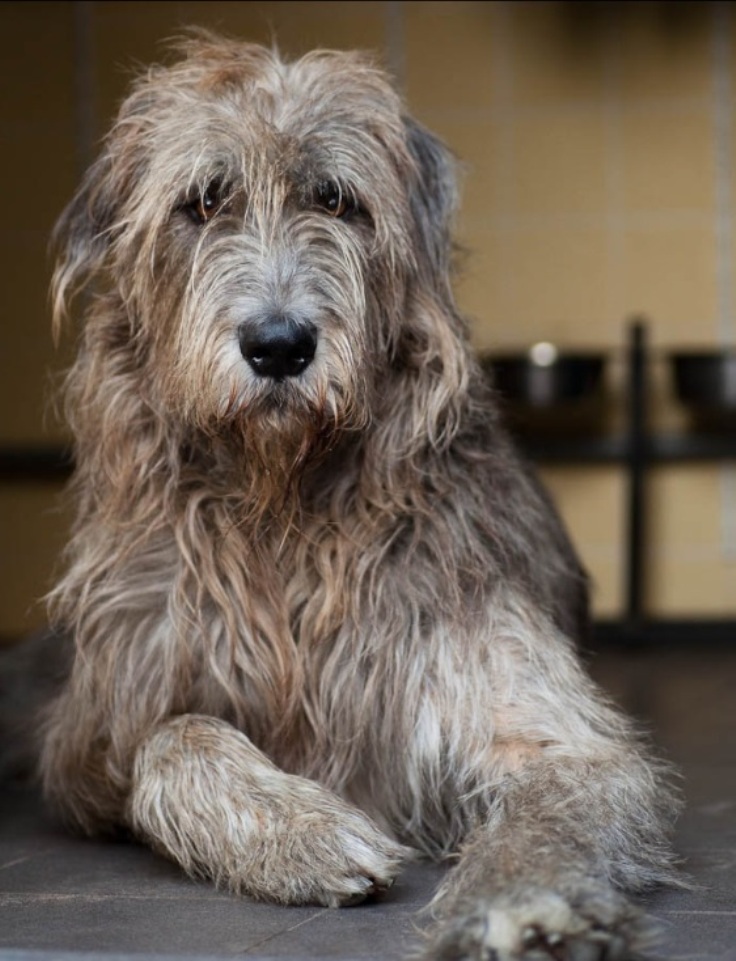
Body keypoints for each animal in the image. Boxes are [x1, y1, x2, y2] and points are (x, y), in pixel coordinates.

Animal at [40, 30, 680, 960]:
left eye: (338, 202)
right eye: (203, 201)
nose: (278, 344)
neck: (284, 507)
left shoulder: (530, 706)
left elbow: (546, 809)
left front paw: (521, 907)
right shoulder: (95, 731)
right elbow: (172, 736)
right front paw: (297, 831)